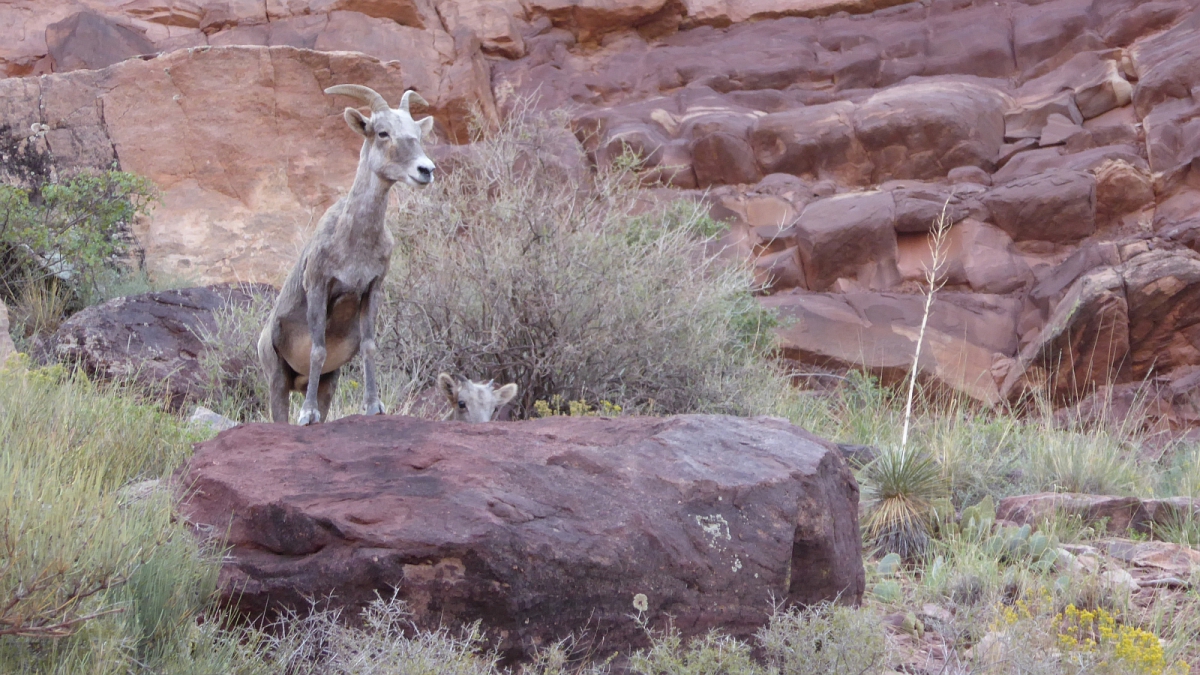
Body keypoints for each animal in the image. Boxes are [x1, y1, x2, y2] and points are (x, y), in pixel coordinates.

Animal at [258, 82, 436, 420]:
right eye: (382, 133)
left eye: (417, 135)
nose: (426, 170)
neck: (354, 243)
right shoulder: (319, 287)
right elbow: (317, 350)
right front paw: (308, 414)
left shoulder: (371, 290)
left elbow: (369, 346)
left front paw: (374, 407)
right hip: (277, 380)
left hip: (330, 382)